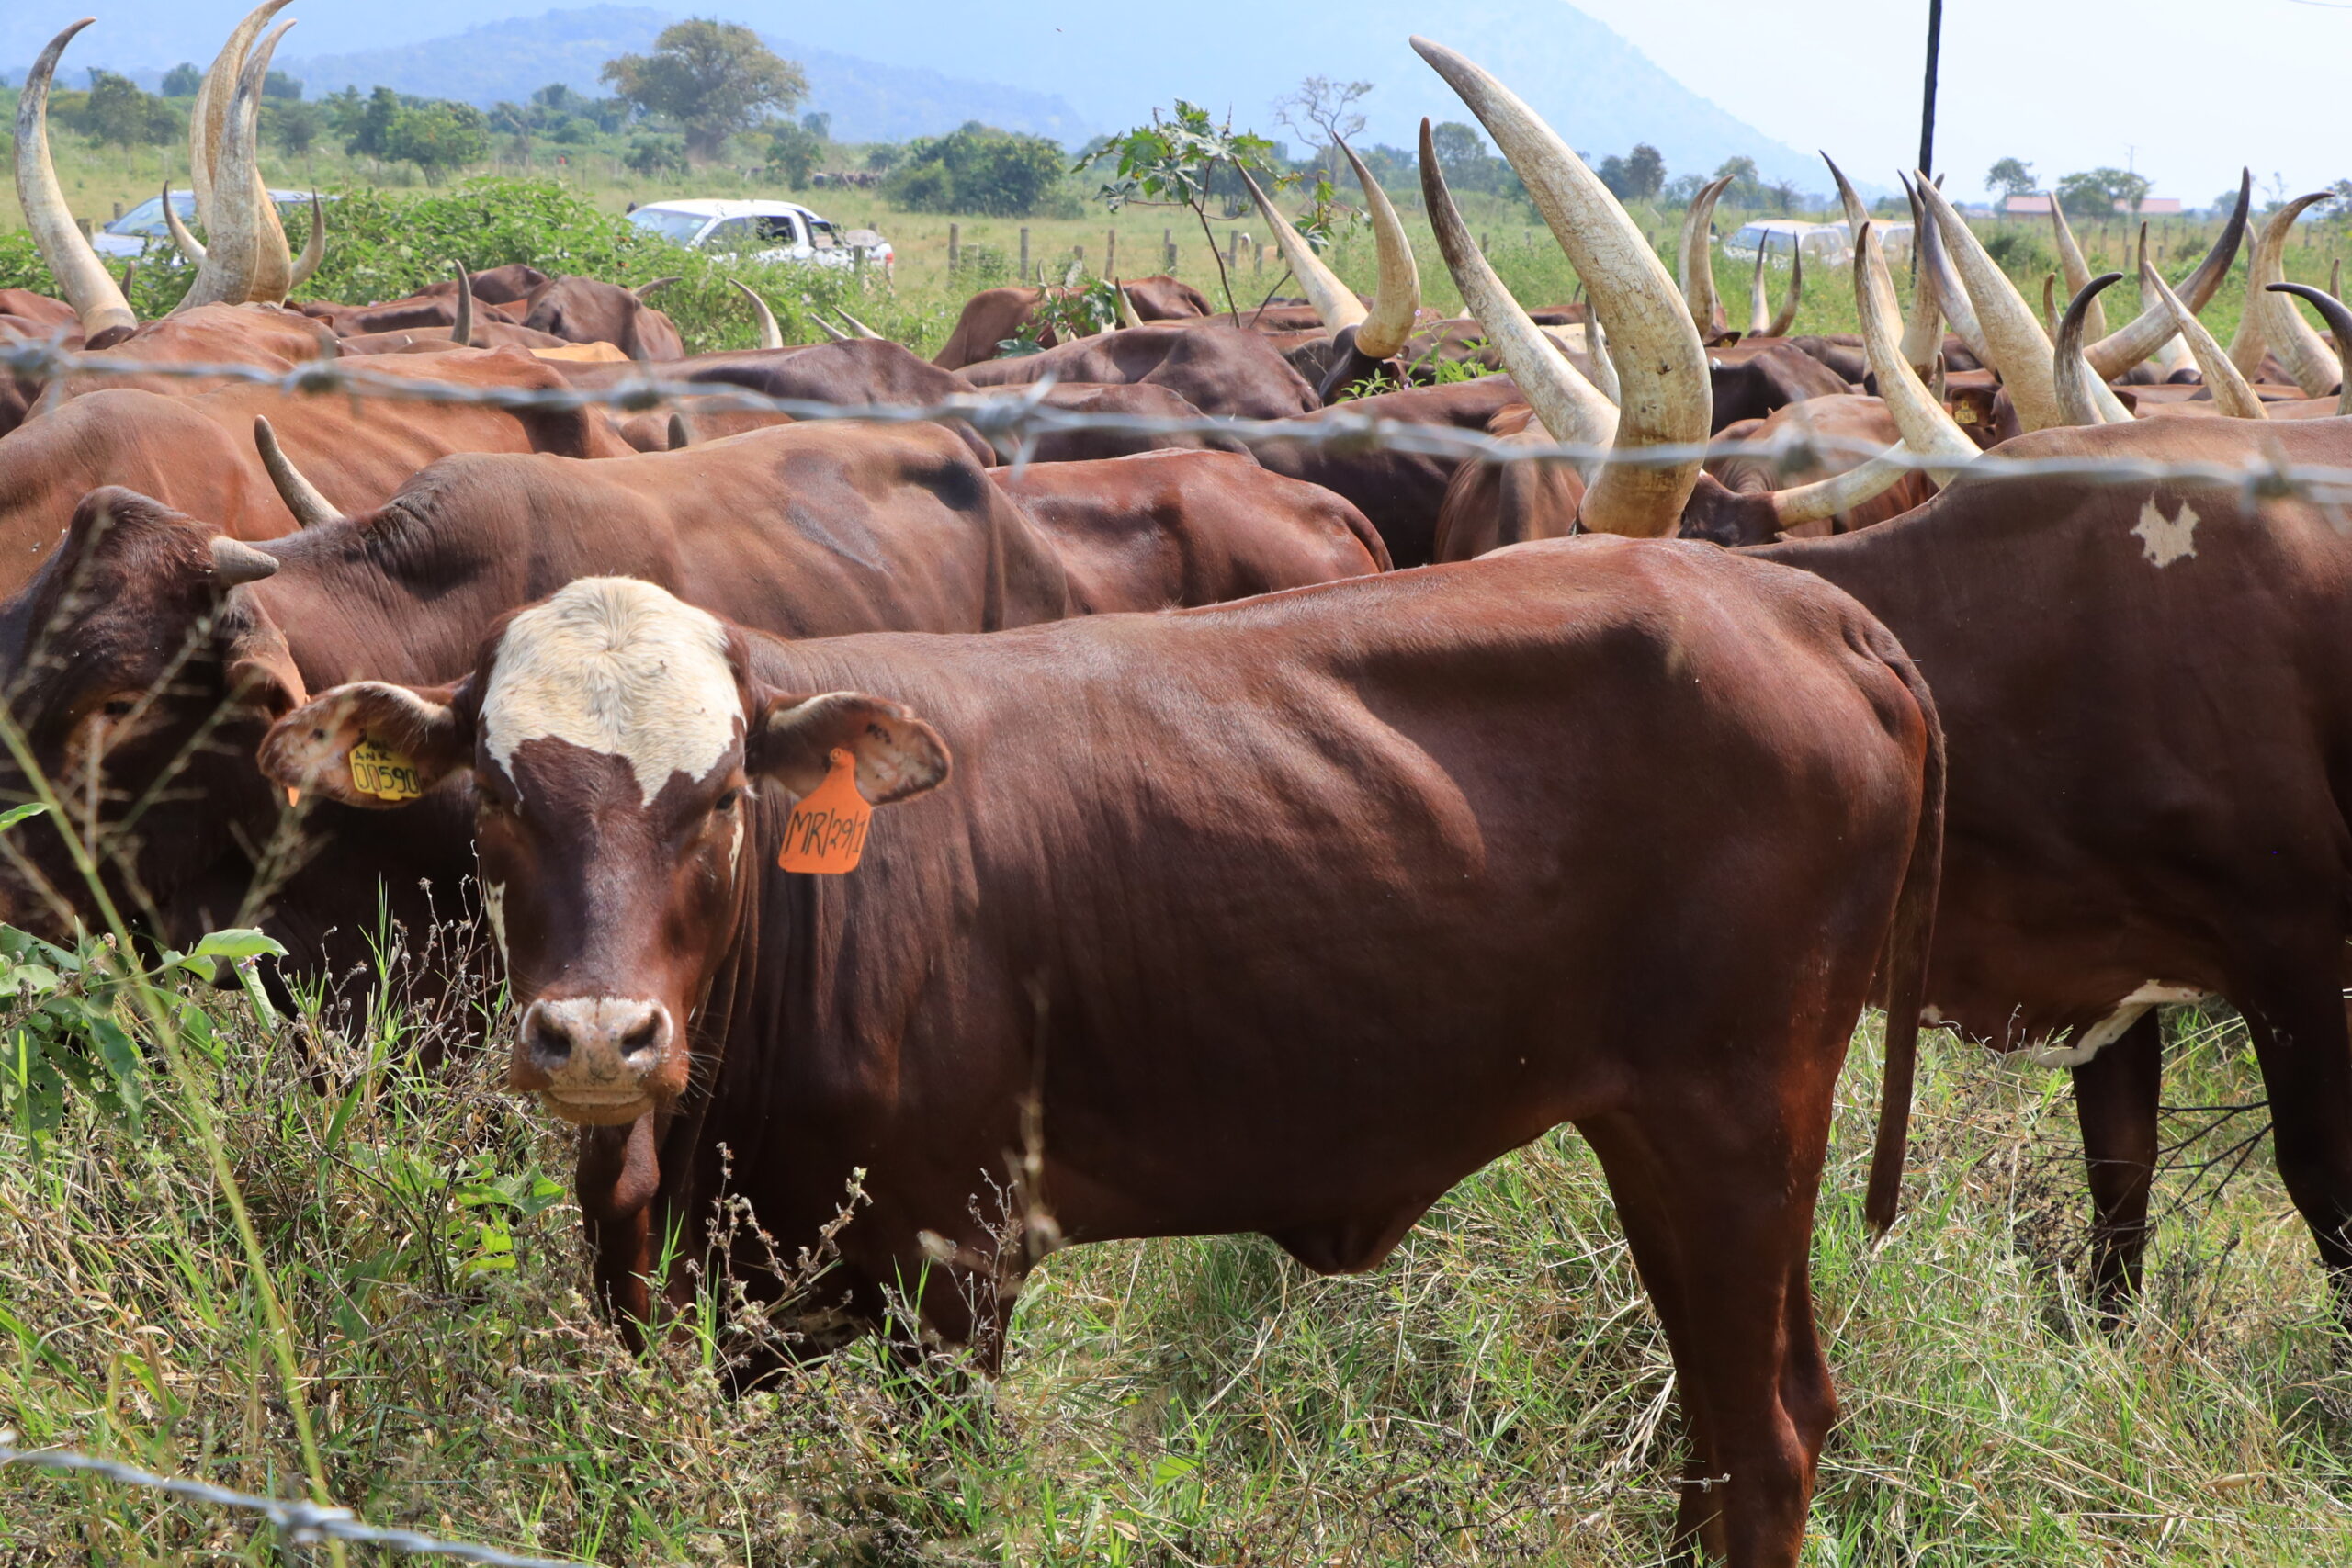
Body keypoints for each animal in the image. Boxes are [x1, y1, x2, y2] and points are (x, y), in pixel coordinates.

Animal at [262, 549, 1947, 1568]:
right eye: (495, 794)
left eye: (725, 792)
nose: (601, 1033)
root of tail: (1809, 605)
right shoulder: (671, 1284)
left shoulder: (957, 1275)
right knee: (1745, 1423)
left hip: (1731, 1128)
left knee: (1762, 1436)